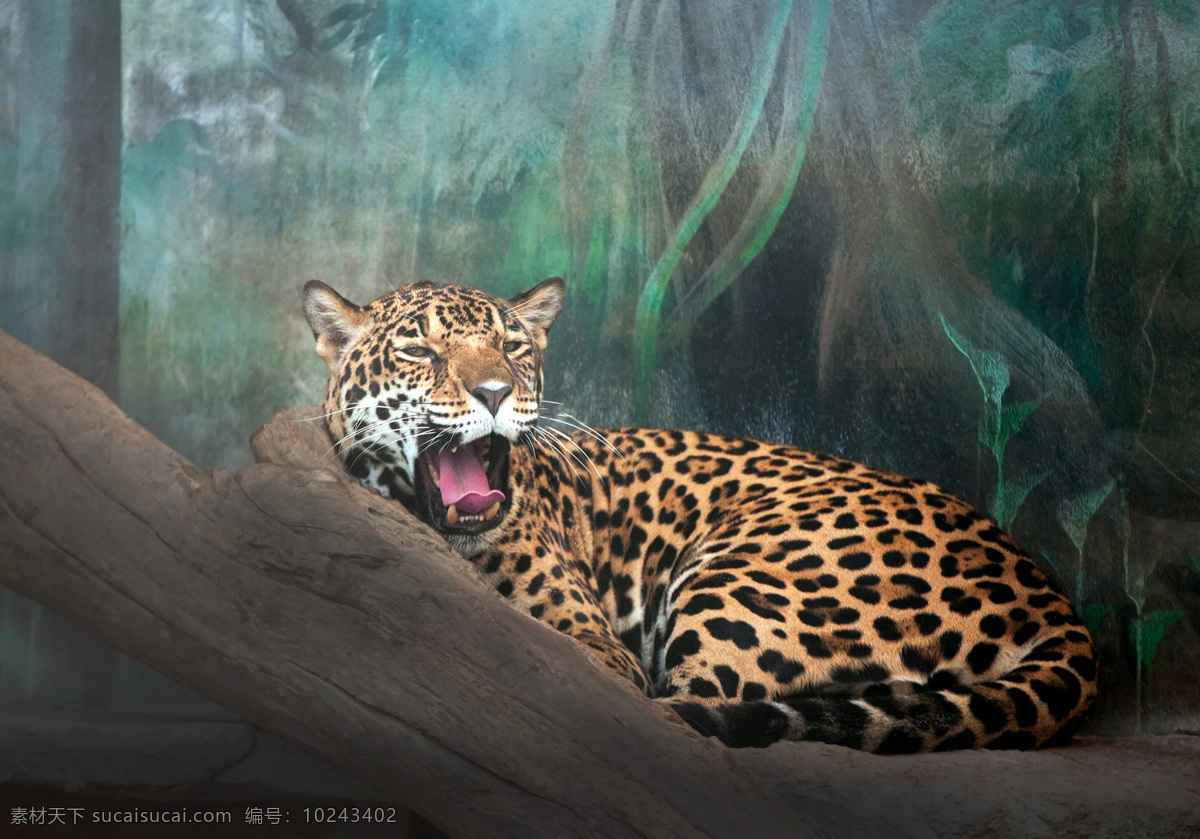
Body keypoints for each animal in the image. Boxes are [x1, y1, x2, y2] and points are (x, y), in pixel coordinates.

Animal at [302, 276, 1099, 753]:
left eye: (514, 345)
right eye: (417, 348)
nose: (496, 391)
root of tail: (1050, 597)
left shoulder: (599, 651)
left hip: (745, 577)